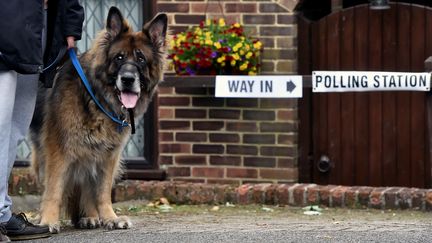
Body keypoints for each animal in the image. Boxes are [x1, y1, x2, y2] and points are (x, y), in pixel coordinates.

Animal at [30, 6, 167, 233]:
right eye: (119, 58)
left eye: (141, 59)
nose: (128, 80)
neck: (96, 97)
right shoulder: (58, 150)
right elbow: (54, 189)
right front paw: (48, 220)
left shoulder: (109, 154)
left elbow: (102, 191)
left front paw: (110, 217)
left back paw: (90, 216)